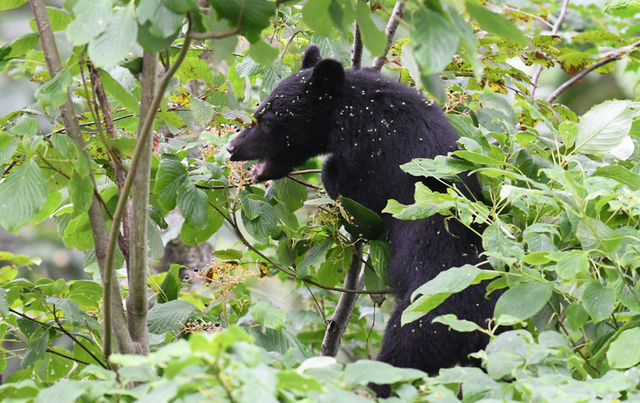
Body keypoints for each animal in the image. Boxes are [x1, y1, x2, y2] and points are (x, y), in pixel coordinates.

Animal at [226, 45, 496, 394]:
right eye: (258, 113)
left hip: (424, 319)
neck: (351, 109)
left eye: (268, 122)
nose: (231, 147)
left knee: (402, 358)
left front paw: (333, 177)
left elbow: (360, 195)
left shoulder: (375, 153)